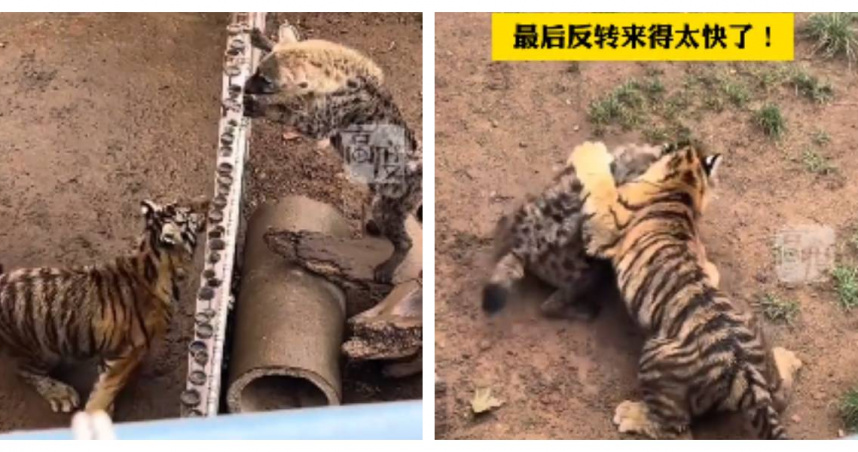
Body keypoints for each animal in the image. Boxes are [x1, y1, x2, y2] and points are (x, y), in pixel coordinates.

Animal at [0, 197, 208, 414]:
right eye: (190, 211)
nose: (207, 201)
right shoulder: (126, 351)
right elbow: (108, 385)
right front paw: (98, 411)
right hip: (44, 348)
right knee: (24, 371)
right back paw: (61, 393)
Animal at [244, 29, 421, 284]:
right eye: (257, 69)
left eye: (266, 81)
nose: (245, 86)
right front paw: (262, 39)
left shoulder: (321, 122)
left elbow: (287, 113)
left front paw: (257, 107)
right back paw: (374, 227)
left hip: (391, 202)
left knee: (405, 241)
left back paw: (385, 270)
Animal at [483, 143, 719, 320]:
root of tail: (523, 247)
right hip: (588, 271)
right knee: (550, 305)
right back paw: (584, 311)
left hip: (520, 208)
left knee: (500, 229)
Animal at [568, 140, 801, 439]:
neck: (681, 189)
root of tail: (745, 375)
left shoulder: (607, 225)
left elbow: (600, 185)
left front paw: (588, 150)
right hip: (753, 328)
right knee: (779, 395)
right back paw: (788, 358)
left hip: (655, 356)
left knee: (674, 430)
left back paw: (629, 414)